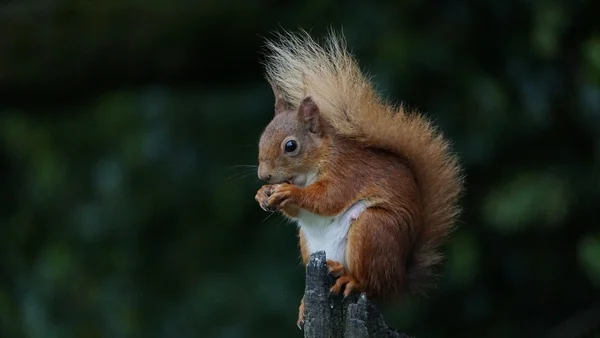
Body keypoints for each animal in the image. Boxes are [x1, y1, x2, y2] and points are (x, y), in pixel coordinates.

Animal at [253, 30, 464, 328]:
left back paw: (351, 279)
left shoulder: (347, 172)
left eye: (291, 146)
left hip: (373, 229)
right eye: (262, 138)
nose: (264, 175)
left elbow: (328, 198)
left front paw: (289, 193)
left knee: (372, 286)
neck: (316, 162)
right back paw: (306, 304)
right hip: (310, 244)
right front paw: (263, 193)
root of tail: (399, 279)